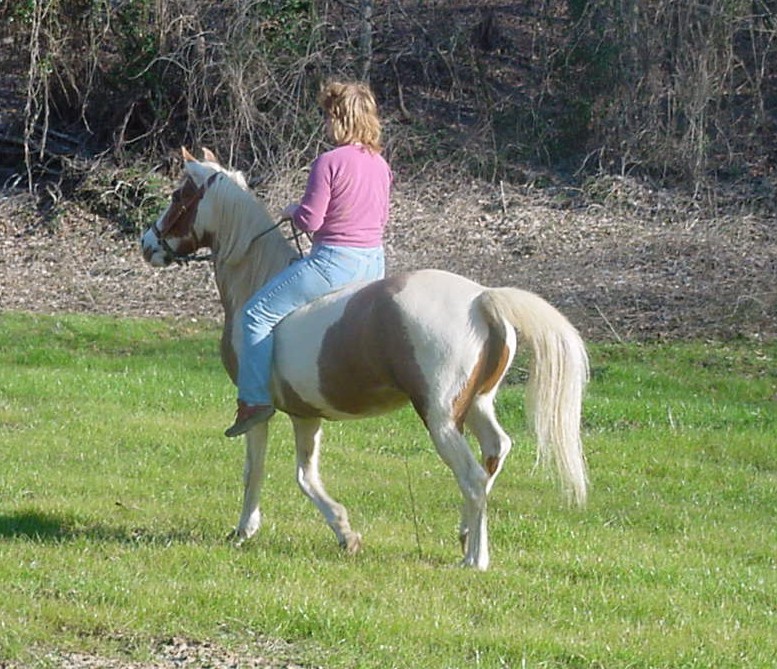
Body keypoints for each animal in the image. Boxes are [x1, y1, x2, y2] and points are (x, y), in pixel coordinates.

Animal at [141, 147, 588, 568]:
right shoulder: (305, 415)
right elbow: (306, 476)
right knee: (495, 452)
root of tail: (481, 299)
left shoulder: (261, 412)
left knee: (473, 477)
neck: (256, 275)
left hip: (441, 417)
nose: (148, 244)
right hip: (476, 404)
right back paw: (464, 534)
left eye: (178, 195)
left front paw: (243, 531)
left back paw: (474, 560)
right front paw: (345, 533)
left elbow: (258, 469)